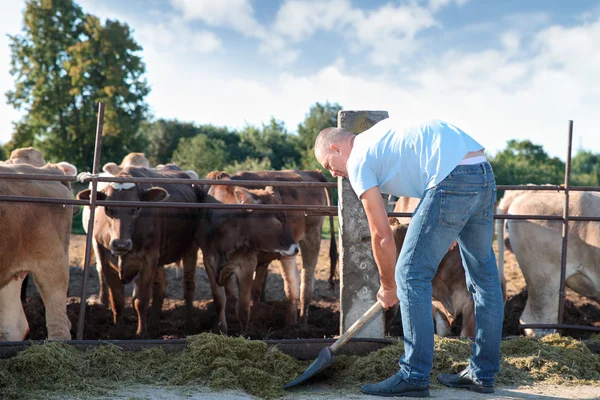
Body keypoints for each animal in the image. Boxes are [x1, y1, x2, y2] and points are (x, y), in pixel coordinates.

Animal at [207, 170, 338, 326]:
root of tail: (312, 172)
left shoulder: (248, 263)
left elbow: (245, 303)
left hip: (312, 237)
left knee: (305, 285)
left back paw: (301, 324)